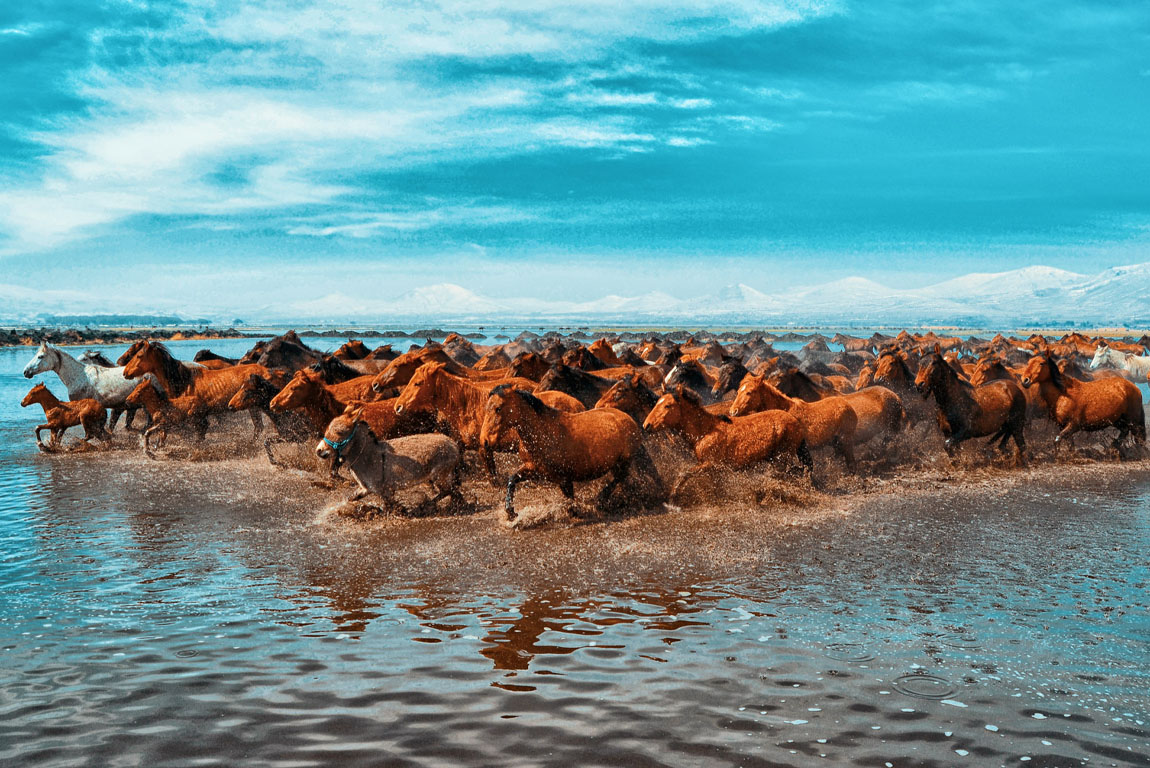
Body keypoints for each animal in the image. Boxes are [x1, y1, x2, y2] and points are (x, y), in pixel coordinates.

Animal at [316, 409, 463, 513]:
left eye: (339, 432)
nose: (319, 450)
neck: (367, 455)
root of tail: (453, 444)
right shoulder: (365, 489)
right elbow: (350, 499)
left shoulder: (385, 492)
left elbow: (390, 508)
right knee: (454, 492)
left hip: (439, 476)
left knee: (448, 491)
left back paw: (426, 506)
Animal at [482, 385, 664, 520]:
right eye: (487, 408)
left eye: (498, 408)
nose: (485, 441)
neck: (543, 432)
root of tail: (630, 421)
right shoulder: (535, 469)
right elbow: (512, 480)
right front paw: (511, 512)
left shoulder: (564, 478)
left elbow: (570, 499)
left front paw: (576, 512)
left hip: (624, 462)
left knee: (620, 478)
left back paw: (600, 500)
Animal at [642, 388, 812, 497]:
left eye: (667, 405)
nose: (646, 425)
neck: (705, 431)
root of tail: (796, 422)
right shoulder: (714, 469)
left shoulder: (711, 464)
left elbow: (684, 473)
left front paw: (672, 498)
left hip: (782, 457)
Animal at [729, 375, 859, 468]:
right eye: (738, 391)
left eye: (749, 392)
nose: (733, 412)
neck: (786, 410)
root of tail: (849, 406)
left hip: (845, 441)